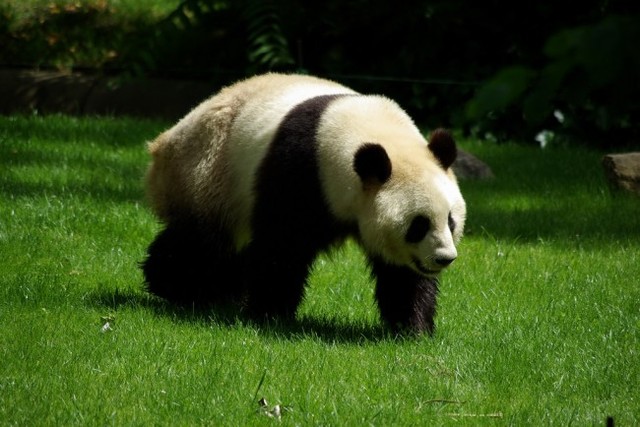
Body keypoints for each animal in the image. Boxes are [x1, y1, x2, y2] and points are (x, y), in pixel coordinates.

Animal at [142, 73, 466, 334]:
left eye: (450, 220)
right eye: (418, 225)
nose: (444, 258)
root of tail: (164, 141)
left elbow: (402, 272)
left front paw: (412, 327)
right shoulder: (299, 171)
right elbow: (281, 245)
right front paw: (269, 314)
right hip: (208, 174)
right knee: (200, 242)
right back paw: (177, 286)